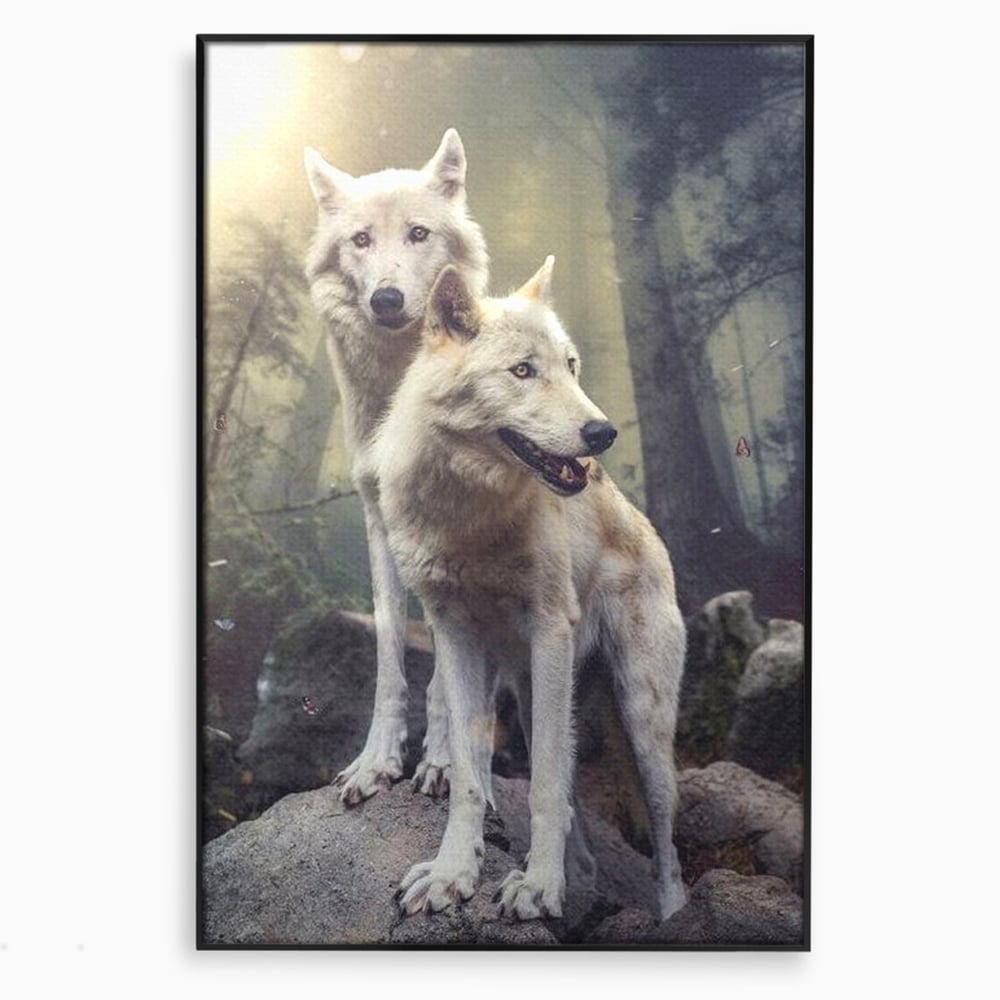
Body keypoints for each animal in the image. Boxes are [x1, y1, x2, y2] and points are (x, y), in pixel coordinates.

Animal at [304, 130, 489, 804]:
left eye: (417, 233)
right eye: (361, 239)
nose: (386, 299)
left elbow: (447, 672)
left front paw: (443, 762)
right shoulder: (379, 522)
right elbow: (389, 656)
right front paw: (375, 762)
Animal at [373, 258, 688, 921]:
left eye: (570, 366)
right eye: (523, 371)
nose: (602, 433)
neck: (470, 515)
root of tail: (647, 529)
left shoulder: (549, 632)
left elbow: (542, 784)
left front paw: (539, 887)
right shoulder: (454, 637)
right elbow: (470, 777)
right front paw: (453, 873)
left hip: (642, 722)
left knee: (665, 837)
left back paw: (675, 912)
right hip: (529, 690)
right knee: (573, 803)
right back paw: (583, 877)